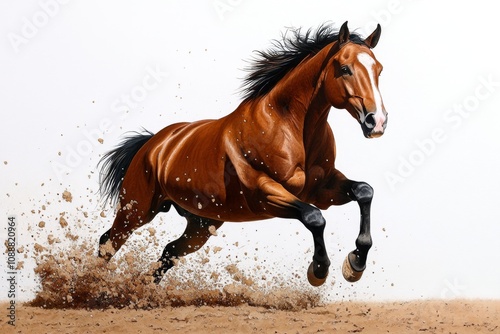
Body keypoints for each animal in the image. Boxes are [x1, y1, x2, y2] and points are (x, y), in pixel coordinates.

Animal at [96, 21, 386, 288]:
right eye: (345, 69)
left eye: (379, 70)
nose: (377, 122)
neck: (289, 127)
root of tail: (153, 144)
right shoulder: (265, 193)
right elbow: (314, 217)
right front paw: (318, 270)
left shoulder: (321, 189)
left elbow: (364, 191)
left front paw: (355, 264)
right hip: (136, 211)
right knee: (108, 242)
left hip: (201, 224)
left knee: (169, 251)